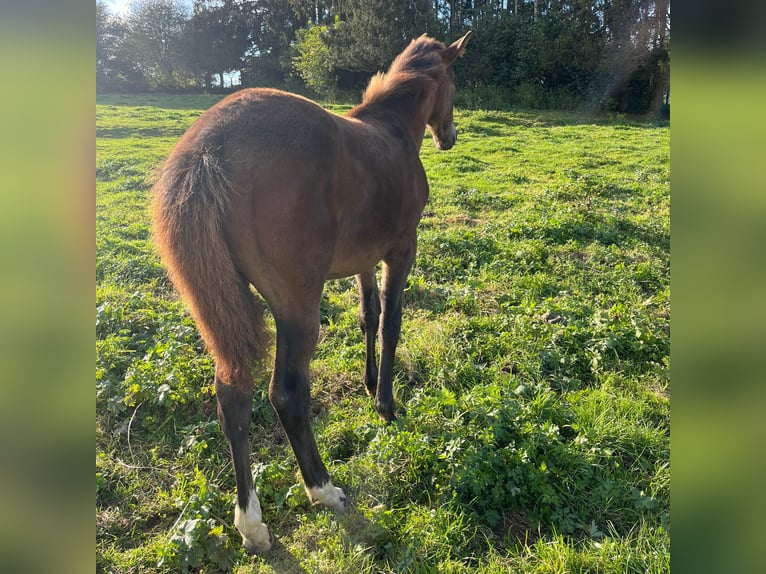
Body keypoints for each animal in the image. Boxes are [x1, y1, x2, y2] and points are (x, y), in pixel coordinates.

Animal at [152, 32, 468, 552]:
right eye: (454, 83)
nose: (449, 136)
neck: (392, 131)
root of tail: (211, 145)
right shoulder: (401, 250)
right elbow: (391, 323)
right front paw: (386, 404)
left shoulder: (363, 259)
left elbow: (368, 316)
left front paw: (368, 384)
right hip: (297, 307)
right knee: (286, 394)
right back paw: (323, 488)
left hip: (221, 307)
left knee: (232, 395)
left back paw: (251, 522)